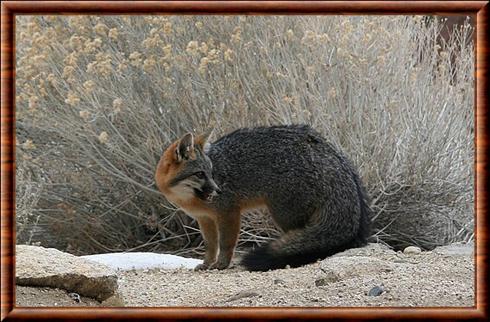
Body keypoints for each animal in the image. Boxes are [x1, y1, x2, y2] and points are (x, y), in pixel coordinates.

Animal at [157, 124, 372, 270]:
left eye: (211, 172)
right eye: (200, 174)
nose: (218, 190)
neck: (187, 199)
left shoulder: (229, 212)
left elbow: (226, 243)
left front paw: (222, 264)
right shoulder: (204, 218)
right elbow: (211, 245)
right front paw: (207, 263)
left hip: (284, 215)